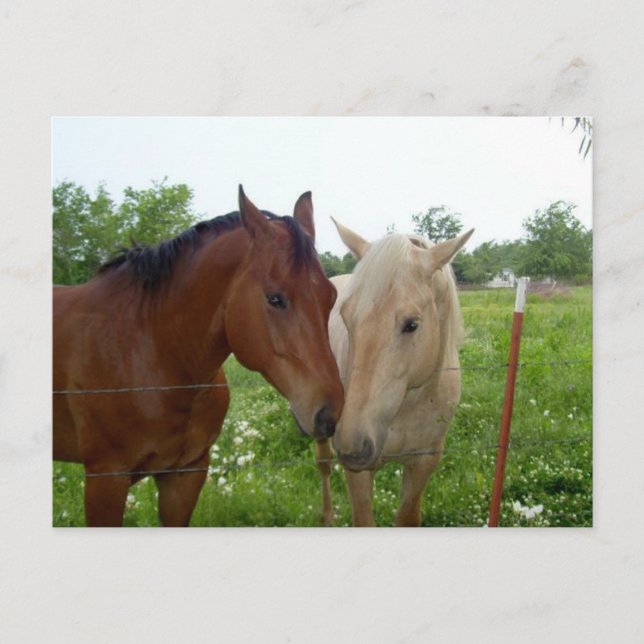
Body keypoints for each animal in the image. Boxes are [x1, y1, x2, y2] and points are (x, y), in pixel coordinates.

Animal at [315, 220, 473, 527]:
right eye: (346, 317)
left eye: (412, 324)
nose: (352, 446)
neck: (408, 405)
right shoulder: (359, 474)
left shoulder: (424, 463)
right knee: (324, 464)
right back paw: (327, 515)